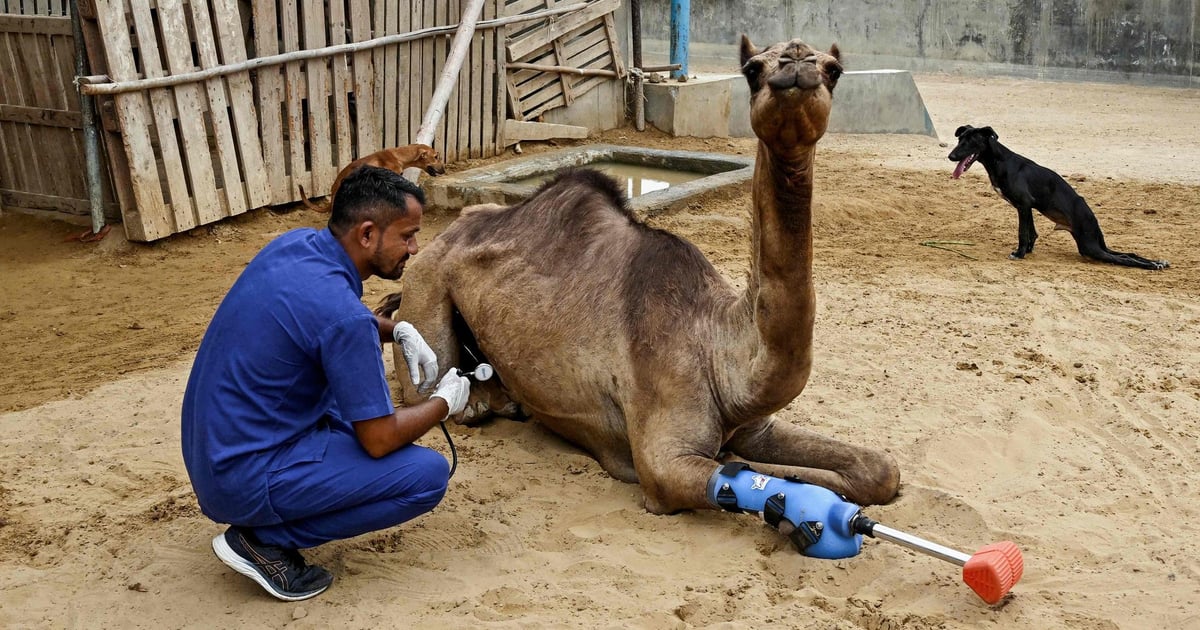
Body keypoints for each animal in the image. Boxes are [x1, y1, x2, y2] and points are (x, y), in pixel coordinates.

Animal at [385, 36, 900, 521]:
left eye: (834, 69)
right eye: (752, 69)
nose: (796, 61)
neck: (723, 352)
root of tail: (443, 236)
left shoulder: (757, 426)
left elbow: (881, 469)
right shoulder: (663, 459)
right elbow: (724, 471)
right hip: (427, 284)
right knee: (429, 389)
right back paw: (482, 402)